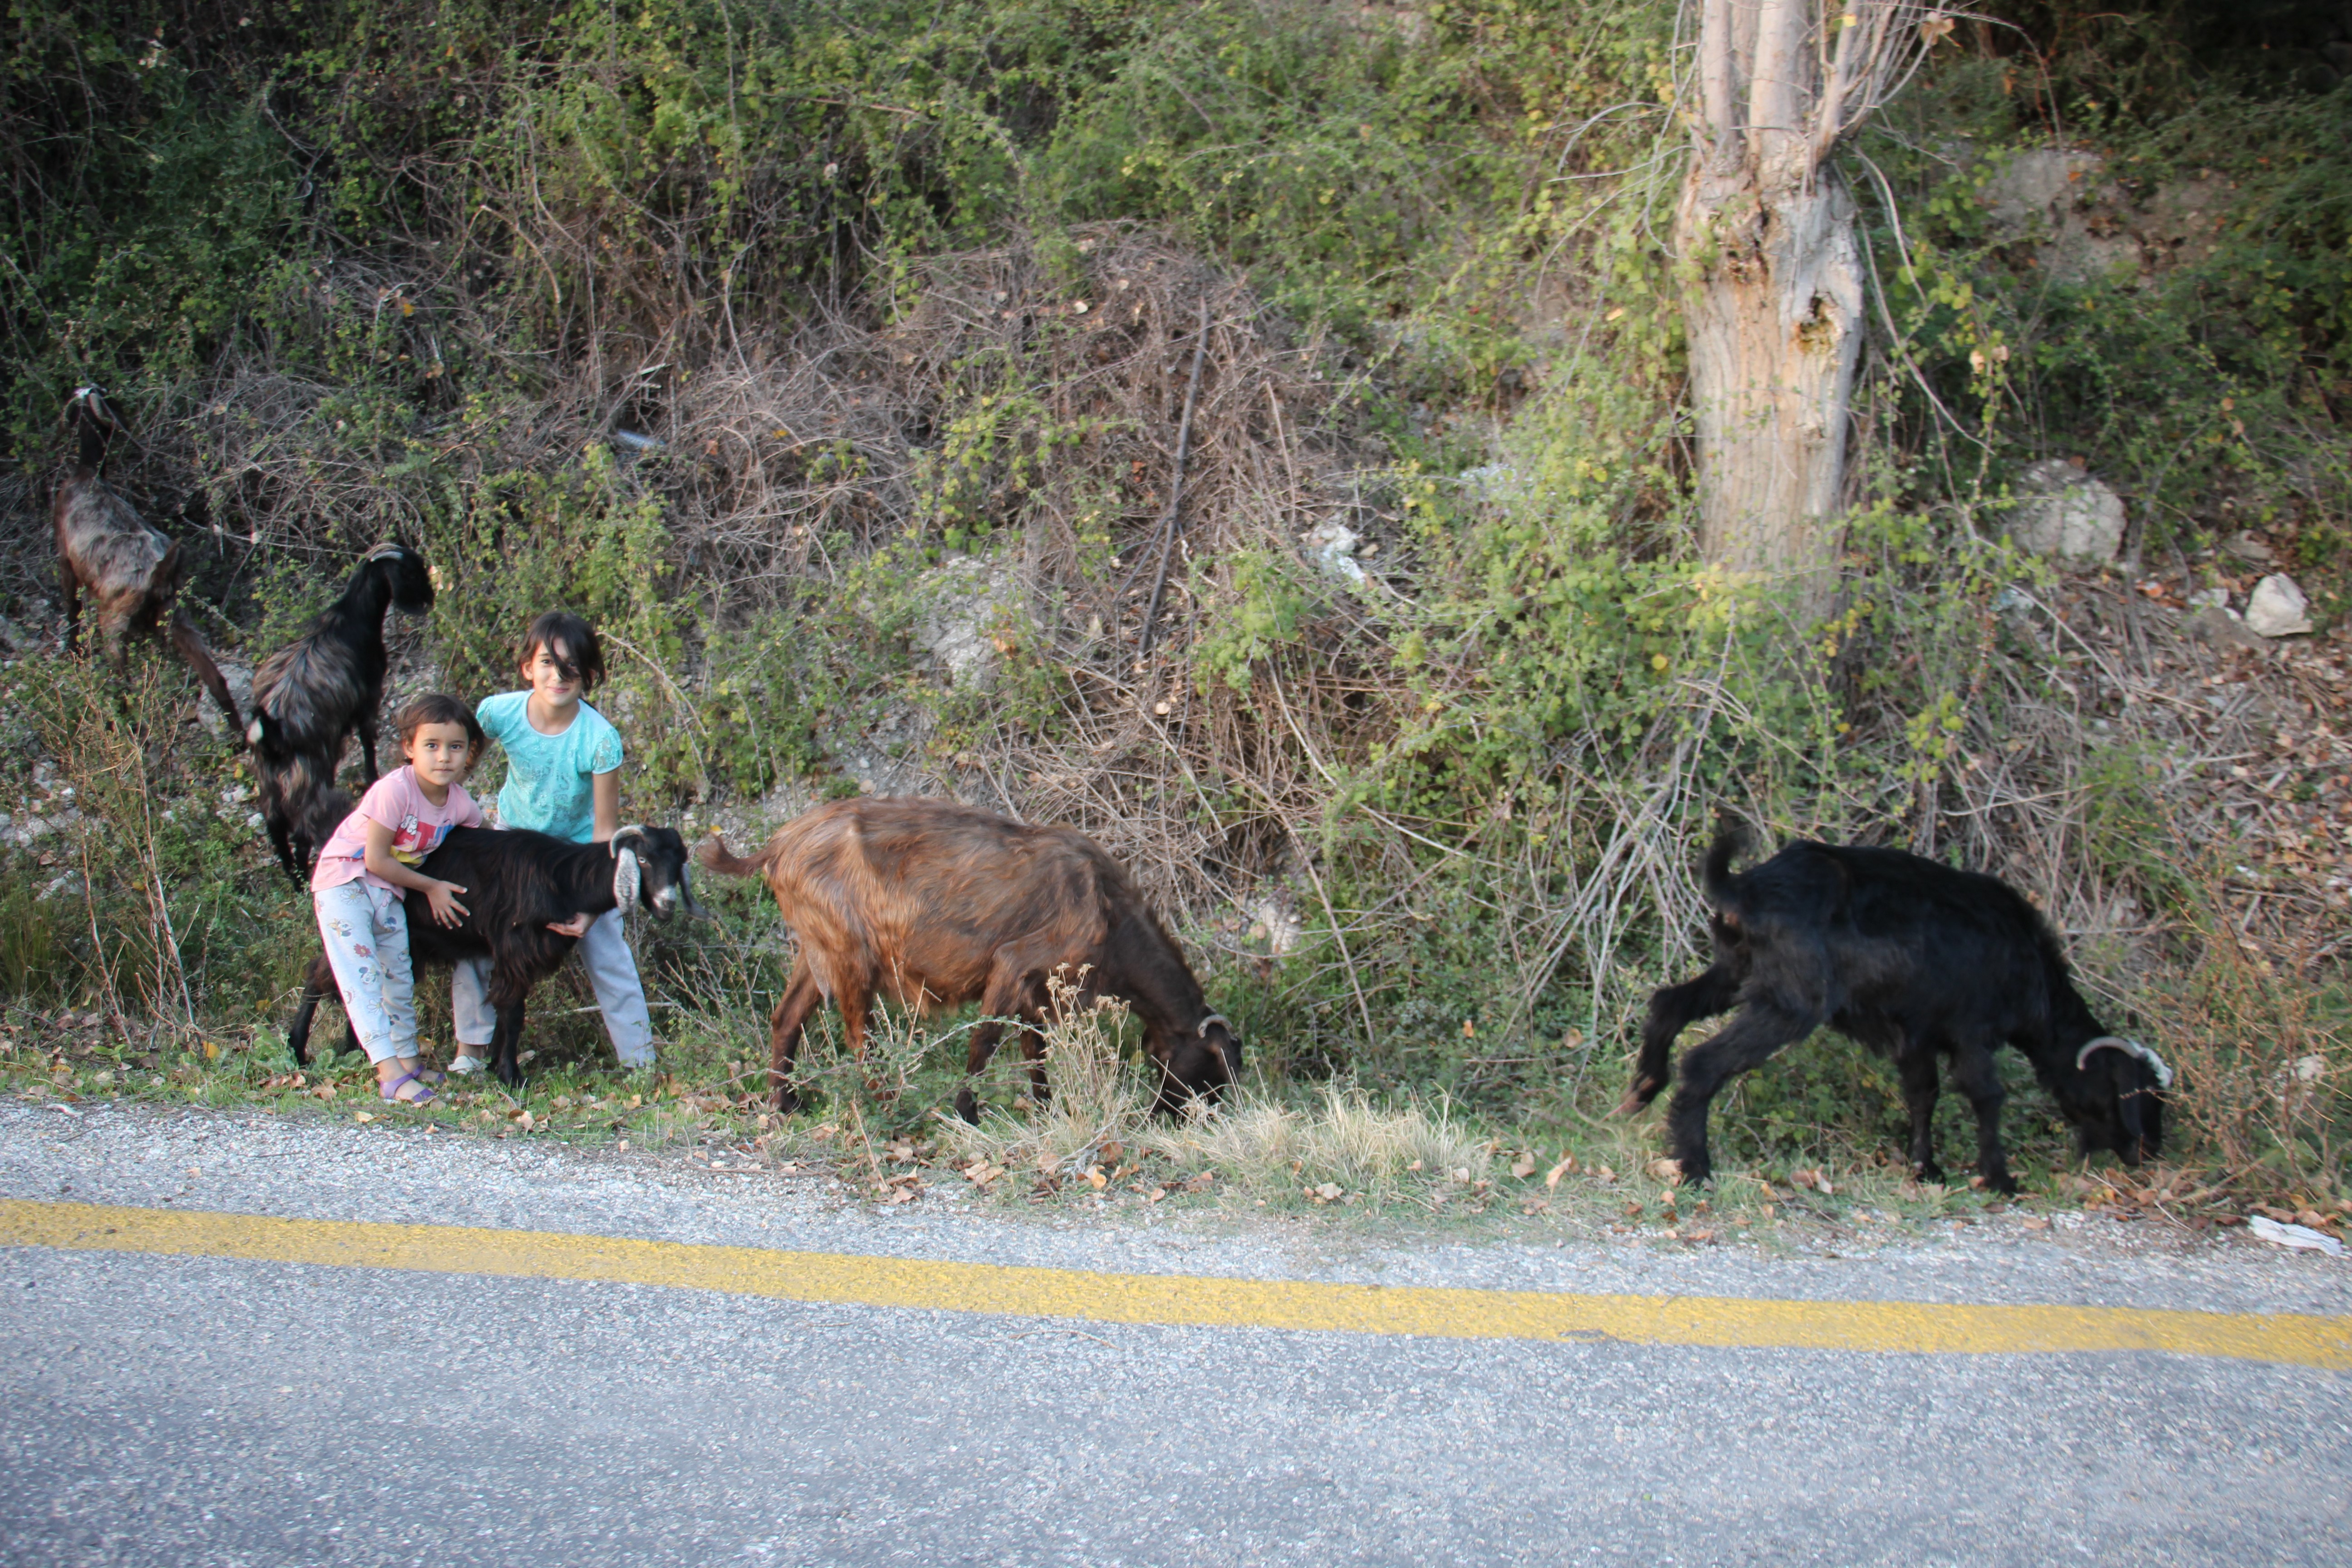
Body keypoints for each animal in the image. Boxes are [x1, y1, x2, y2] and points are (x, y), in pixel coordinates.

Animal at [55, 392, 241, 738]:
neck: (88, 472)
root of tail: (160, 569)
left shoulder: (65, 558)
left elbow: (71, 608)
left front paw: (73, 653)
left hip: (114, 619)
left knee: (123, 679)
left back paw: (126, 726)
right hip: (176, 614)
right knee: (215, 677)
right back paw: (239, 735)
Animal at [248, 540, 437, 884]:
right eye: (410, 573)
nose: (429, 599)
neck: (352, 619)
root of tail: (272, 735)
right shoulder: (369, 700)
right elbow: (367, 740)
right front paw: (372, 777)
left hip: (269, 786)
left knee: (277, 830)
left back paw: (293, 878)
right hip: (307, 780)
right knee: (306, 827)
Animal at [283, 823, 686, 1091]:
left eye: (678, 861)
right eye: (644, 860)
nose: (668, 905)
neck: (561, 878)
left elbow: (503, 1007)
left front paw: (495, 1066)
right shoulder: (514, 948)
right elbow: (513, 1011)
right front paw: (511, 1075)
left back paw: (352, 1049)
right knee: (321, 972)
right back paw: (298, 1051)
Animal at [696, 804, 1242, 1123]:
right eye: (1213, 1072)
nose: (1189, 1118)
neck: (1108, 910)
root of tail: (779, 845)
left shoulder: (1037, 993)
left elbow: (1034, 1050)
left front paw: (1046, 1110)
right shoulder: (1014, 967)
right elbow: (985, 1043)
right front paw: (967, 1113)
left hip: (817, 952)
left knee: (787, 1018)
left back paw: (785, 1104)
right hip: (852, 957)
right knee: (858, 1037)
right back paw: (890, 1109)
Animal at [1618, 827, 2164, 1194]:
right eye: (2135, 1094)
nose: (2149, 1152)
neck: (2029, 965)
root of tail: (1744, 886)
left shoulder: (1917, 1035)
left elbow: (1923, 1095)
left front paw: (1928, 1169)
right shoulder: (1971, 1031)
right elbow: (1987, 1096)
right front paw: (2000, 1177)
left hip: (1737, 974)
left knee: (1668, 1004)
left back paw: (1643, 1089)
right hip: (1789, 1005)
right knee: (1702, 1063)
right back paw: (1695, 1166)